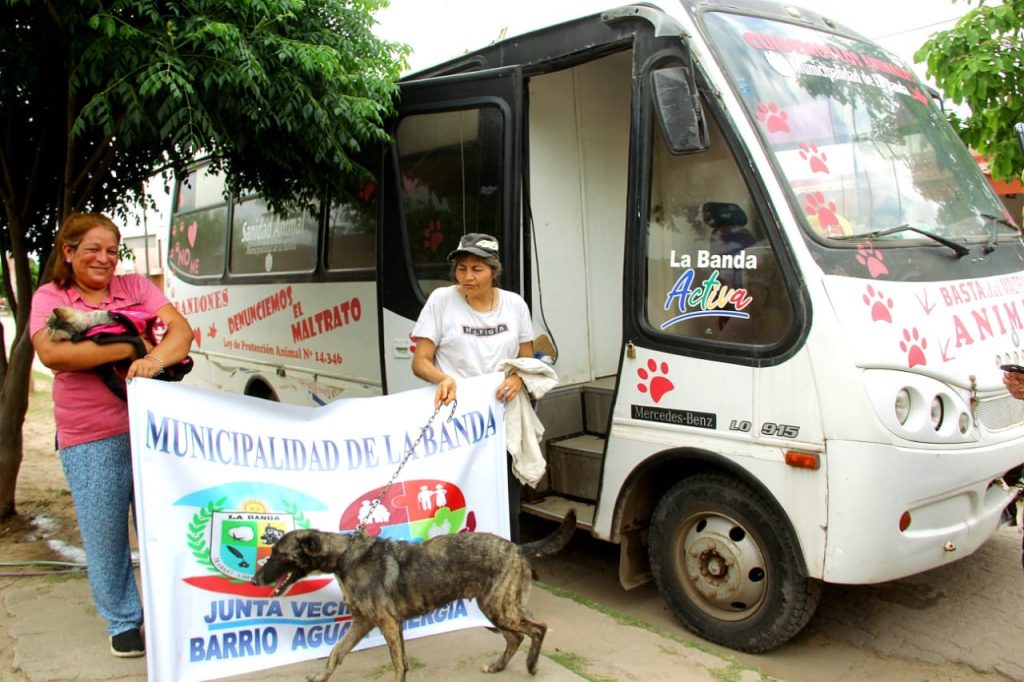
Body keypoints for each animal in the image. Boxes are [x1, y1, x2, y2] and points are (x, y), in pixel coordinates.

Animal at [250, 509, 577, 679]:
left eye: (278, 553)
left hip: (499, 608)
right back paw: (498, 666)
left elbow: (396, 663)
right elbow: (336, 652)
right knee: (516, 637)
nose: (254, 579)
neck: (346, 556)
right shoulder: (363, 622)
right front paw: (320, 677)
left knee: (537, 629)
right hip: (497, 607)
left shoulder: (386, 622)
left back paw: (531, 665)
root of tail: (518, 548)